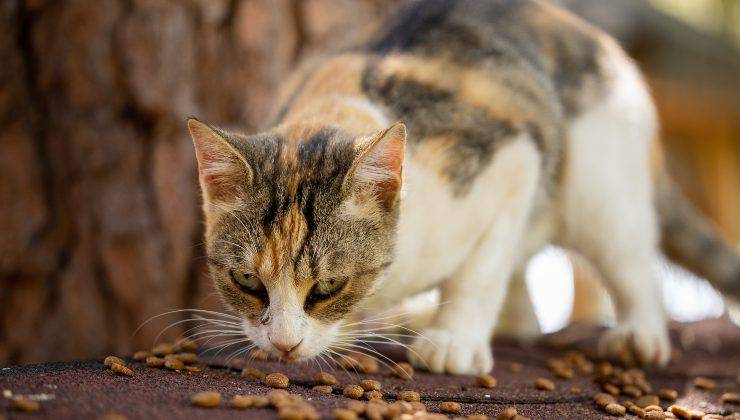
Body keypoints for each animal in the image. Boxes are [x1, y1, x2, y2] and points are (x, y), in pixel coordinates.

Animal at [189, 0, 740, 374]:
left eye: (327, 286)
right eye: (247, 281)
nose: (283, 344)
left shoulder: (513, 157)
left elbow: (481, 270)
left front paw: (454, 341)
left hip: (600, 182)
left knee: (629, 260)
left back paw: (638, 334)